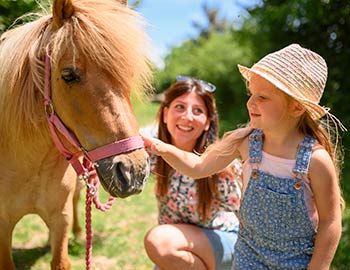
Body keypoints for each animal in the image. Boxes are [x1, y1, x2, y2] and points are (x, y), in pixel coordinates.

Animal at [0, 0, 153, 268]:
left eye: (128, 76)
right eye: (69, 75)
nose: (134, 172)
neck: (29, 164)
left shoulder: (60, 217)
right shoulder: (2, 227)